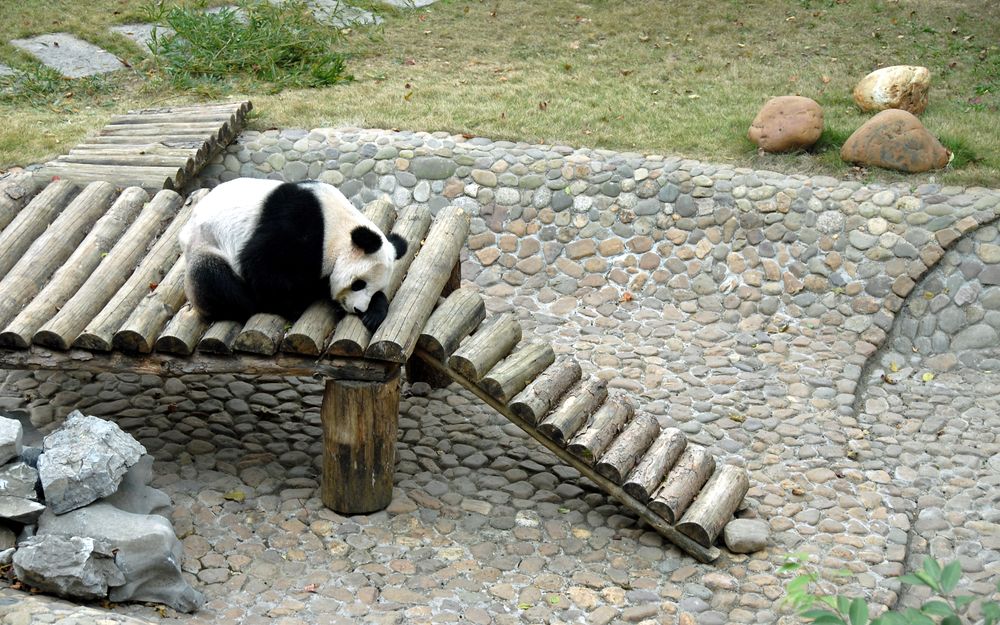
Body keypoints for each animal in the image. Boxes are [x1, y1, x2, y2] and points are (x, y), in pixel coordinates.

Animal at [178, 178, 407, 333]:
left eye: (375, 288)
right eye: (359, 284)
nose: (359, 309)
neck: (339, 228)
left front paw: (374, 312)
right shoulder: (299, 224)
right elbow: (260, 263)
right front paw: (297, 299)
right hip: (206, 244)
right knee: (213, 277)